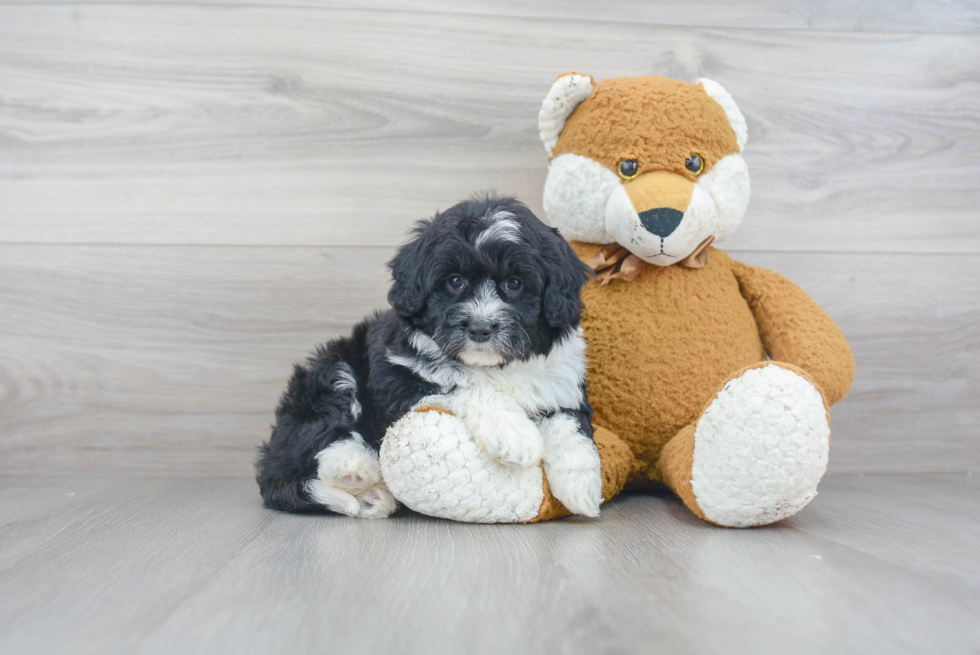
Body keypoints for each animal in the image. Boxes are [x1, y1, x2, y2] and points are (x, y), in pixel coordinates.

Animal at [256, 193, 600, 516]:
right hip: (333, 372)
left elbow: (569, 420)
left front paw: (582, 483)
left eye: (514, 284)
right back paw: (354, 468)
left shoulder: (561, 382)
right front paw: (514, 433)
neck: (496, 366)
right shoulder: (398, 383)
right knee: (322, 434)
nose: (480, 328)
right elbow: (465, 386)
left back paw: (372, 495)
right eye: (455, 281)